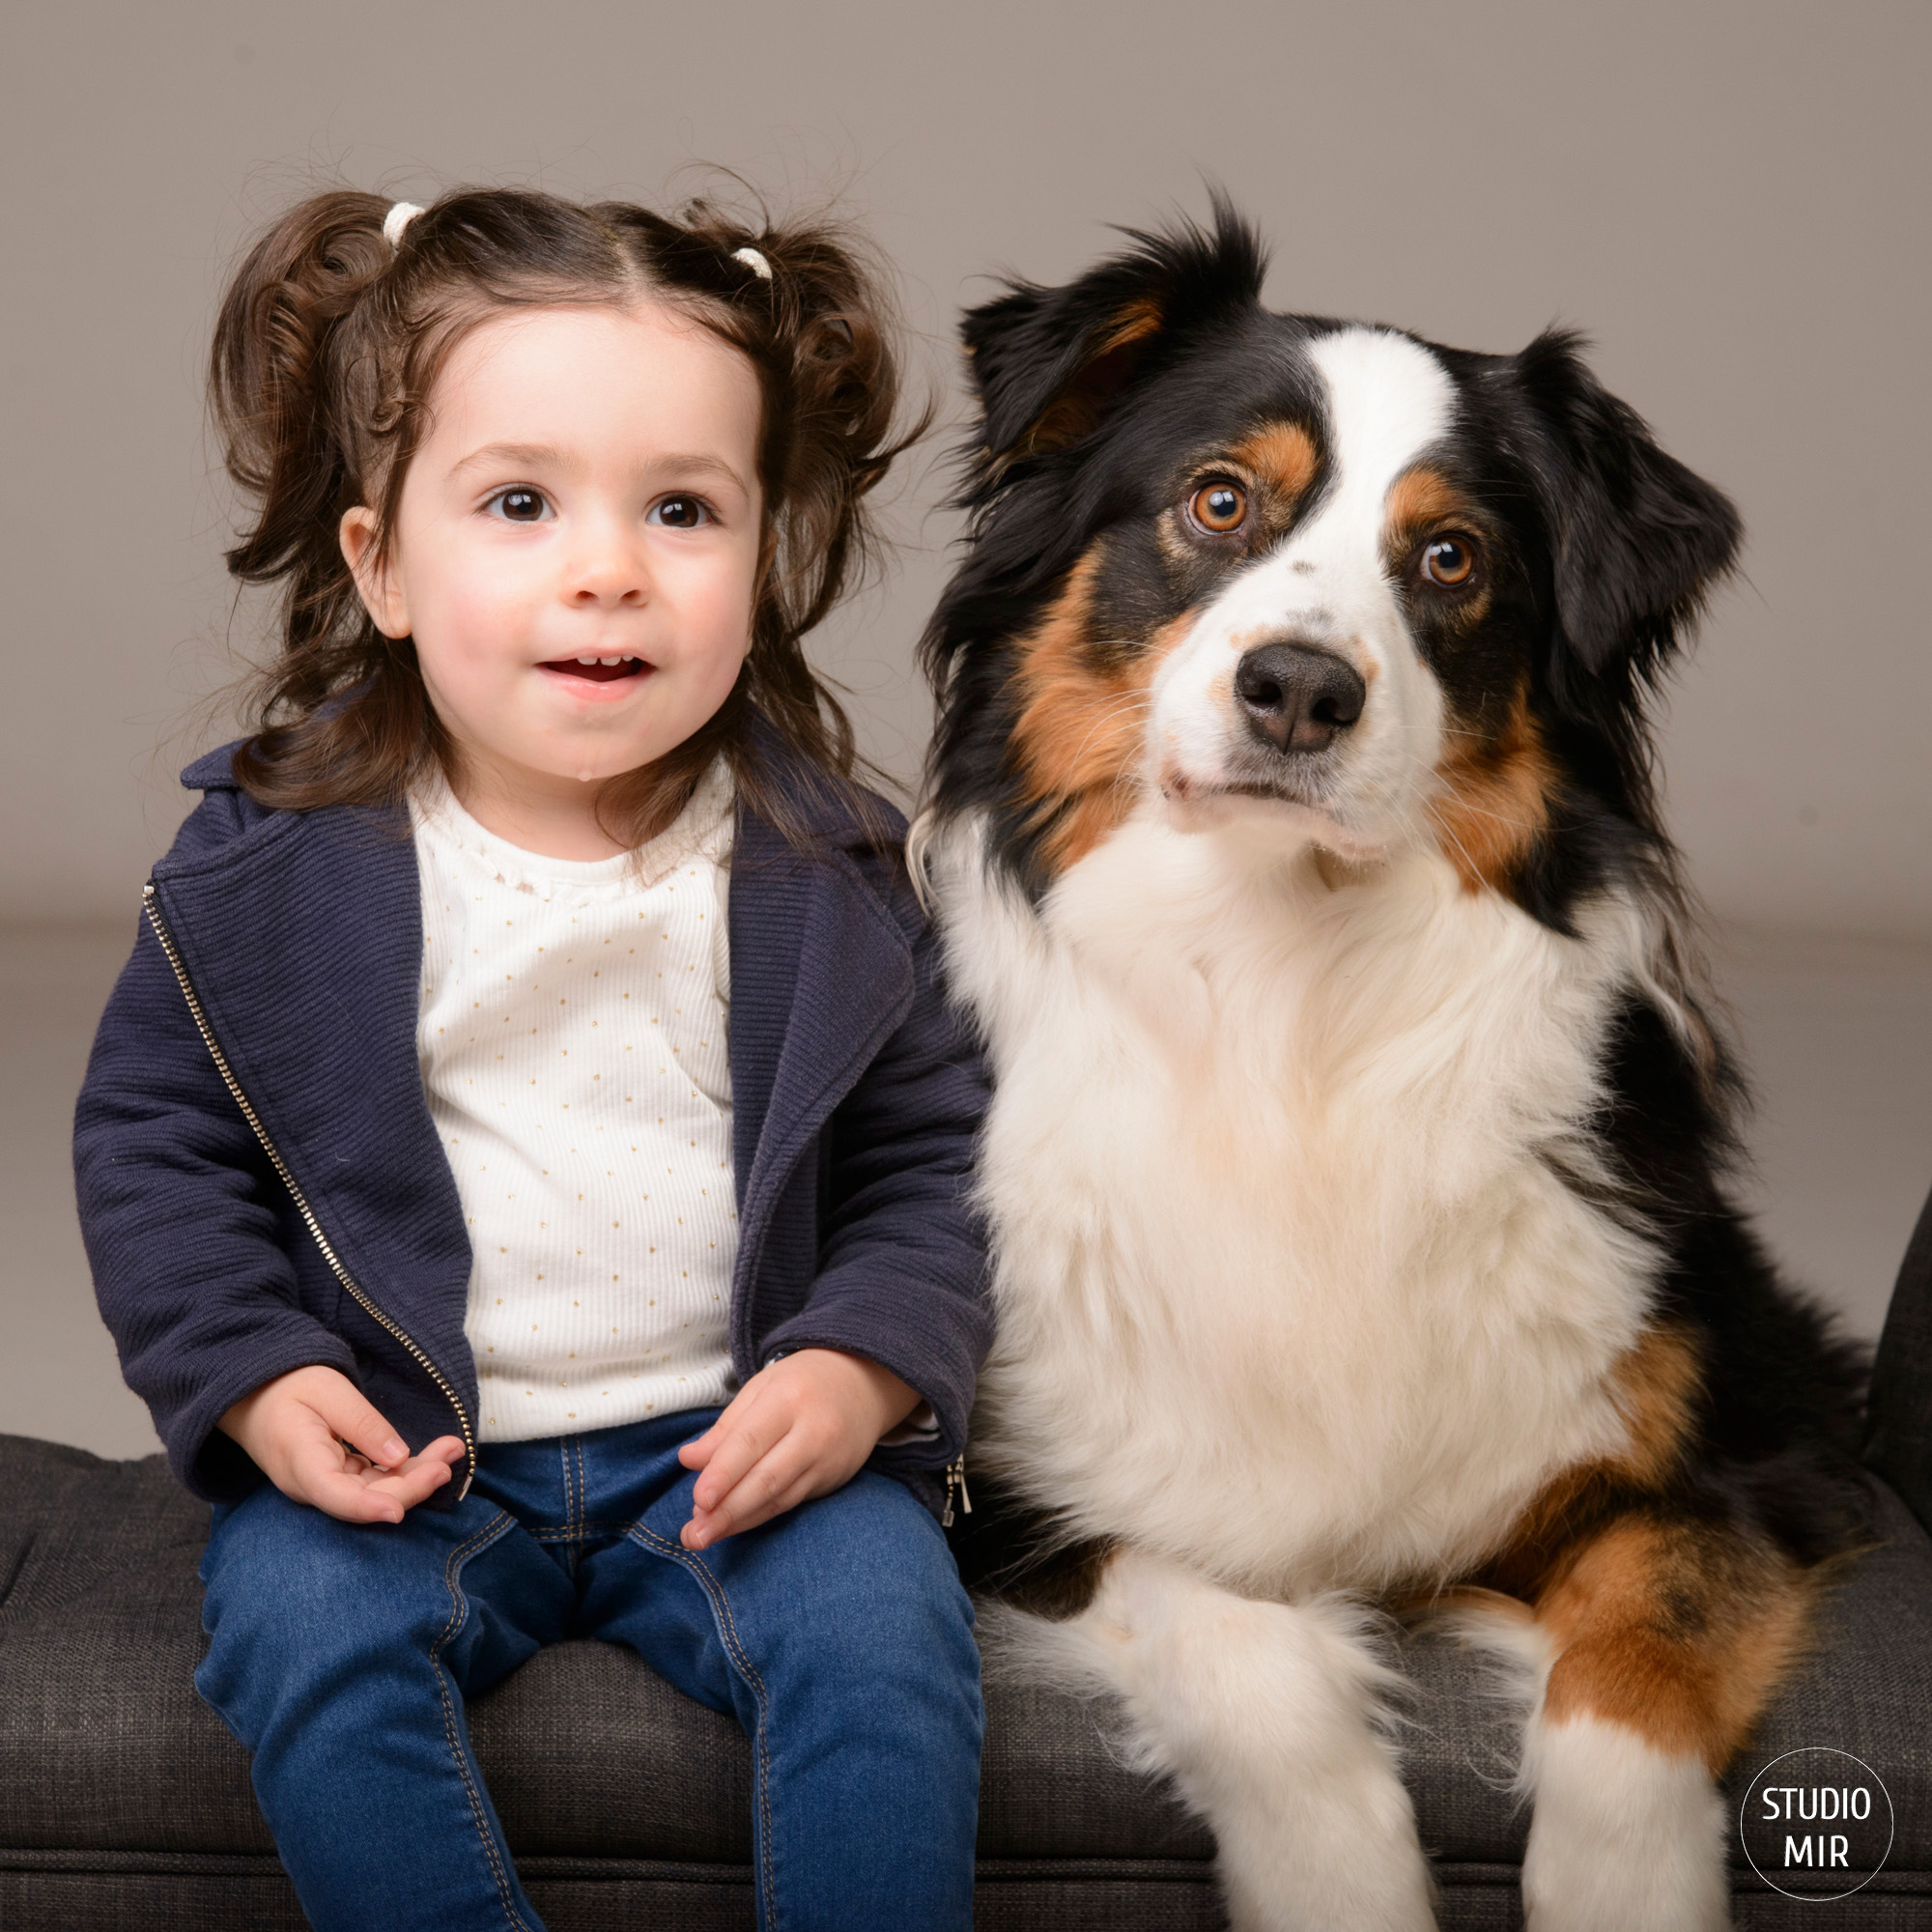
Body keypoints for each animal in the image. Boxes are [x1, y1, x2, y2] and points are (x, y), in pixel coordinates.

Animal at [920, 212, 1870, 1932]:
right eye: (1219, 499)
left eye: (1451, 560)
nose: (1300, 688)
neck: (1288, 993)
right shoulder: (998, 1505)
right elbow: (1247, 1646)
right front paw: (1342, 1879)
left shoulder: (1763, 1445)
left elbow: (1641, 1659)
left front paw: (1622, 1890)